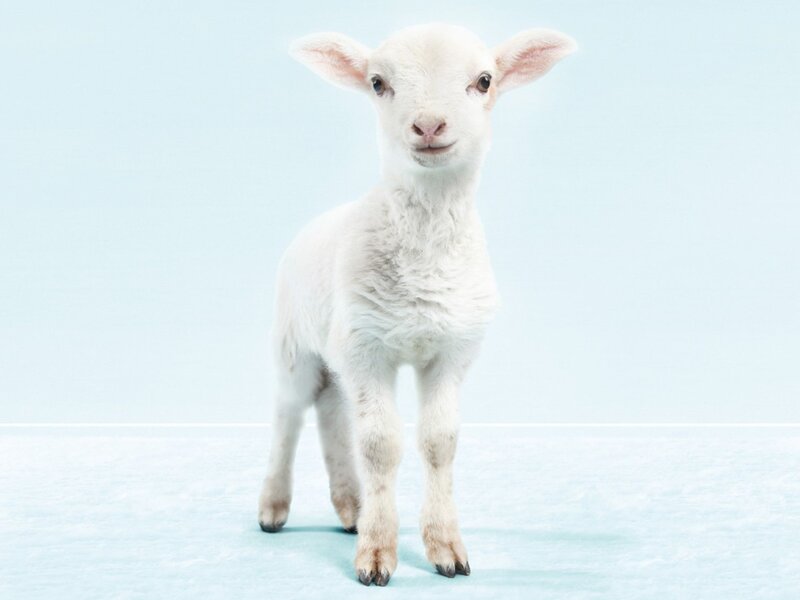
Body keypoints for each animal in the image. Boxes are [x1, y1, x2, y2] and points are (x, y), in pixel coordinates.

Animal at [258, 23, 576, 586]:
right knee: (289, 412)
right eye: (377, 82)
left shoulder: (451, 349)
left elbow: (438, 441)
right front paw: (376, 555)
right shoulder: (368, 349)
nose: (428, 124)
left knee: (332, 411)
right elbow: (381, 445)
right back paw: (274, 508)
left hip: (338, 347)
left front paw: (445, 548)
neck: (425, 267)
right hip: (294, 341)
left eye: (485, 80)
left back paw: (350, 509)